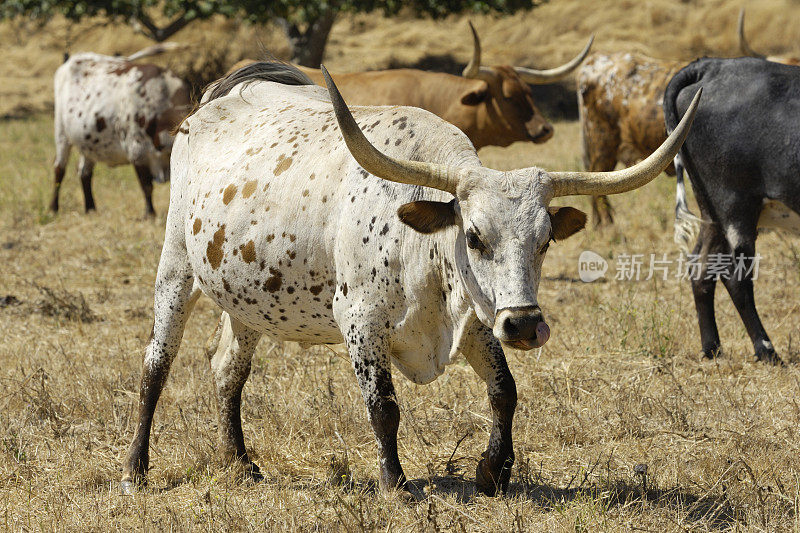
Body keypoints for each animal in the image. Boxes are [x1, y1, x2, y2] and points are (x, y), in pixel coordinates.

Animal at [52, 42, 191, 215]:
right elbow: (147, 186)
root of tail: (76, 57)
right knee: (59, 169)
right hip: (61, 133)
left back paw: (90, 208)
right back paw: (54, 208)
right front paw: (149, 213)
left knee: (84, 172)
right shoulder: (137, 152)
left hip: (88, 140)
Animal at [120, 61, 700, 494]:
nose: (524, 326)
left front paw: (492, 471)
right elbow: (384, 407)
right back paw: (135, 469)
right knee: (155, 366)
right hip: (176, 267)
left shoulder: (476, 318)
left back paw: (238, 463)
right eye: (475, 237)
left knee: (226, 371)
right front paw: (395, 483)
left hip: (247, 297)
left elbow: (505, 392)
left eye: (545, 241)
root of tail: (215, 101)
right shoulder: (360, 321)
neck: (418, 240)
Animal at [664, 59, 800, 366]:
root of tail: (712, 66)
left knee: (701, 267)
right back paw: (766, 349)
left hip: (712, 211)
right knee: (735, 276)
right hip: (735, 205)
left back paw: (712, 347)